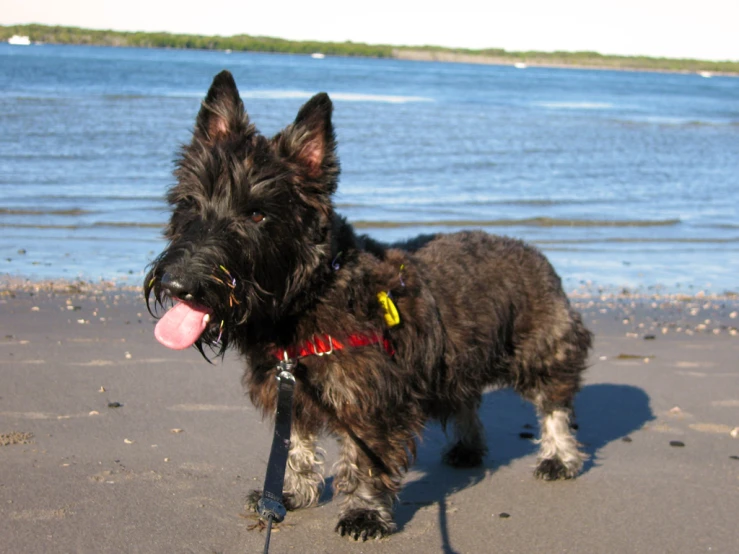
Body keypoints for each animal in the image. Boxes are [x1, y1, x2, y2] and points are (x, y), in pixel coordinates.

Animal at [147, 69, 592, 540]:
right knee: (467, 399)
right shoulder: (291, 390)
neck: (310, 295)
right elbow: (295, 446)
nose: (179, 284)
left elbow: (364, 462)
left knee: (554, 404)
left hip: (542, 350)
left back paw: (559, 458)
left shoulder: (370, 403)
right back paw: (468, 448)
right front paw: (289, 494)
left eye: (256, 214)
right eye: (189, 201)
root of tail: (536, 254)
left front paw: (363, 512)